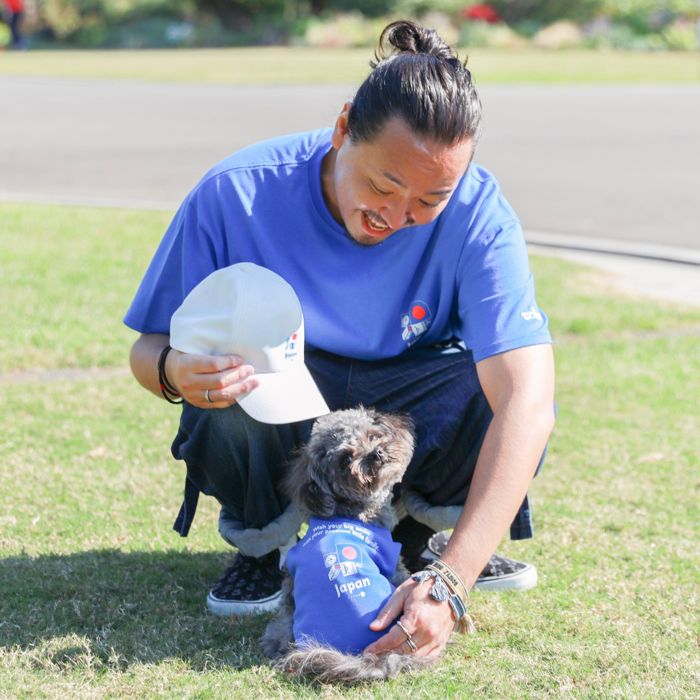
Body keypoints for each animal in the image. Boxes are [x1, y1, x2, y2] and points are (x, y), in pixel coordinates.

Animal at [262, 408, 422, 680]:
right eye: (346, 459)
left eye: (373, 435)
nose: (376, 454)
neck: (348, 511)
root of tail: (363, 658)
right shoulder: (394, 564)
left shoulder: (290, 582)